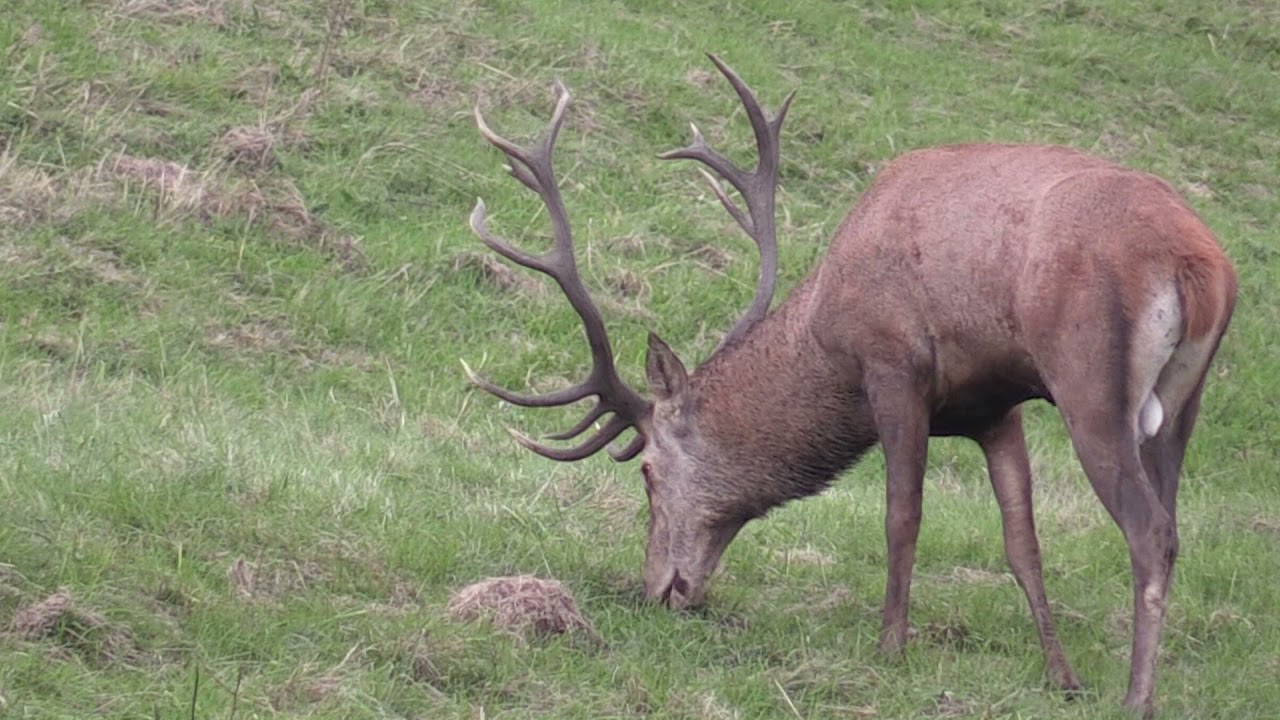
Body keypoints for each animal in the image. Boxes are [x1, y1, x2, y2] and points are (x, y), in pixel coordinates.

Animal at [463, 55, 1236, 717]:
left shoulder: (893, 366)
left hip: (1089, 378)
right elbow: (1022, 543)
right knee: (1171, 521)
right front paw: (1061, 675)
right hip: (1182, 405)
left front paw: (890, 648)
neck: (826, 334)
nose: (659, 589)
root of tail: (1200, 265)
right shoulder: (994, 406)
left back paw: (1138, 697)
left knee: (1149, 530)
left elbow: (903, 516)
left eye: (648, 472)